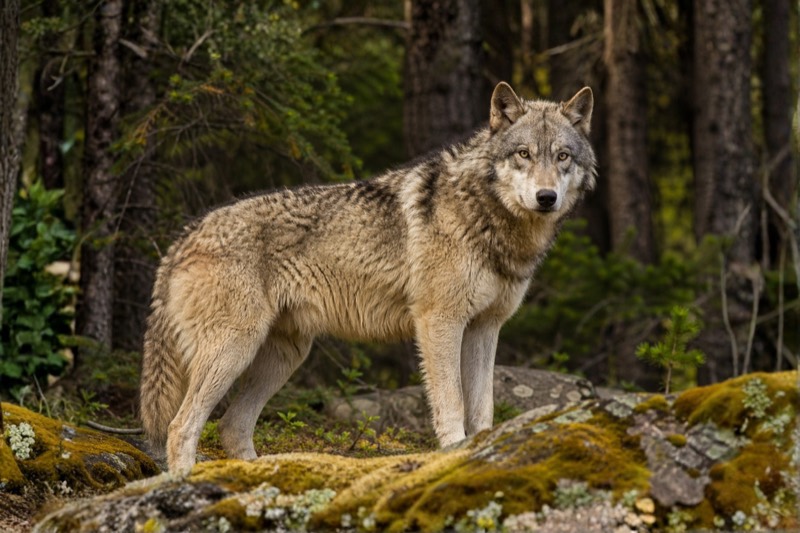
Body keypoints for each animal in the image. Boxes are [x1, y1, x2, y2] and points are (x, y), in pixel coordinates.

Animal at [139, 82, 596, 473]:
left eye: (562, 156)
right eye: (523, 154)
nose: (546, 198)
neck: (486, 216)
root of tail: (183, 238)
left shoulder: (485, 328)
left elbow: (482, 408)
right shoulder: (439, 322)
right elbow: (451, 403)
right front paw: (453, 455)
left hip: (284, 356)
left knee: (232, 426)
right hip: (235, 349)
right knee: (182, 427)